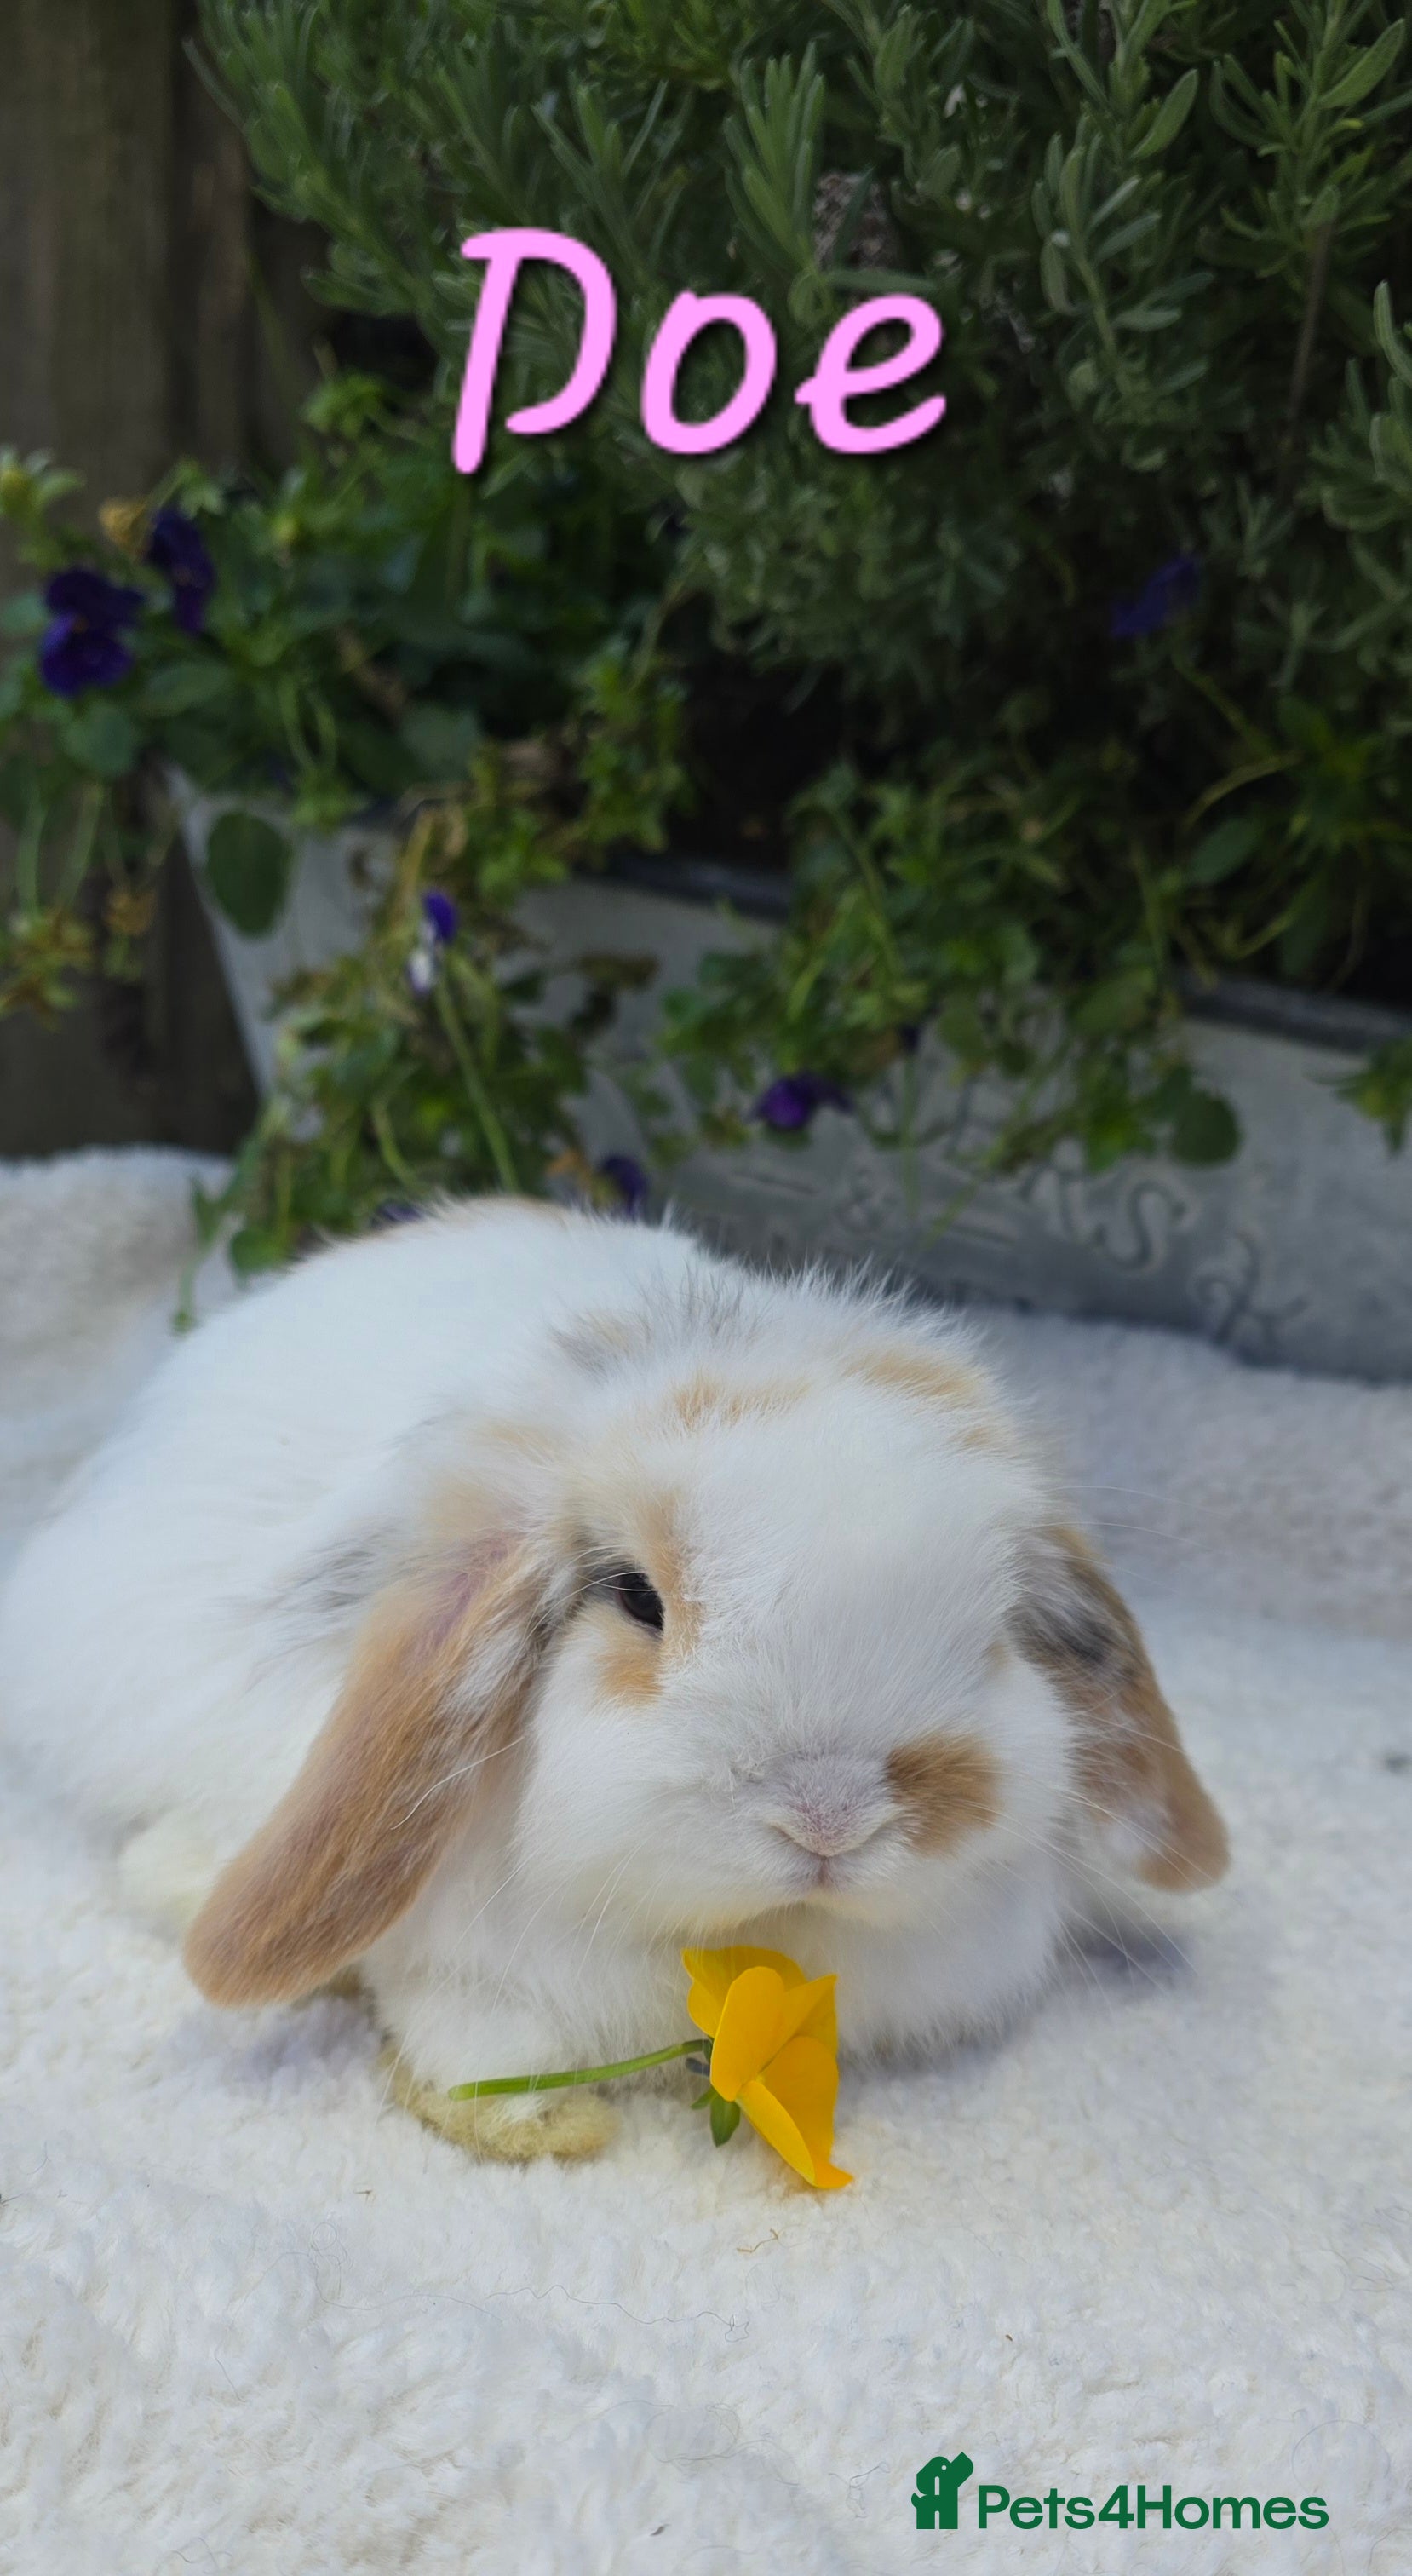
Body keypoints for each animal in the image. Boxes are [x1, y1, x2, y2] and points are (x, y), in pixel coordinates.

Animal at [0, 1195, 1227, 2161]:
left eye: (990, 1634)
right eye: (636, 1597)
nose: (828, 1819)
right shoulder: (464, 1968)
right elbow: (464, 2037)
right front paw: (543, 2124)